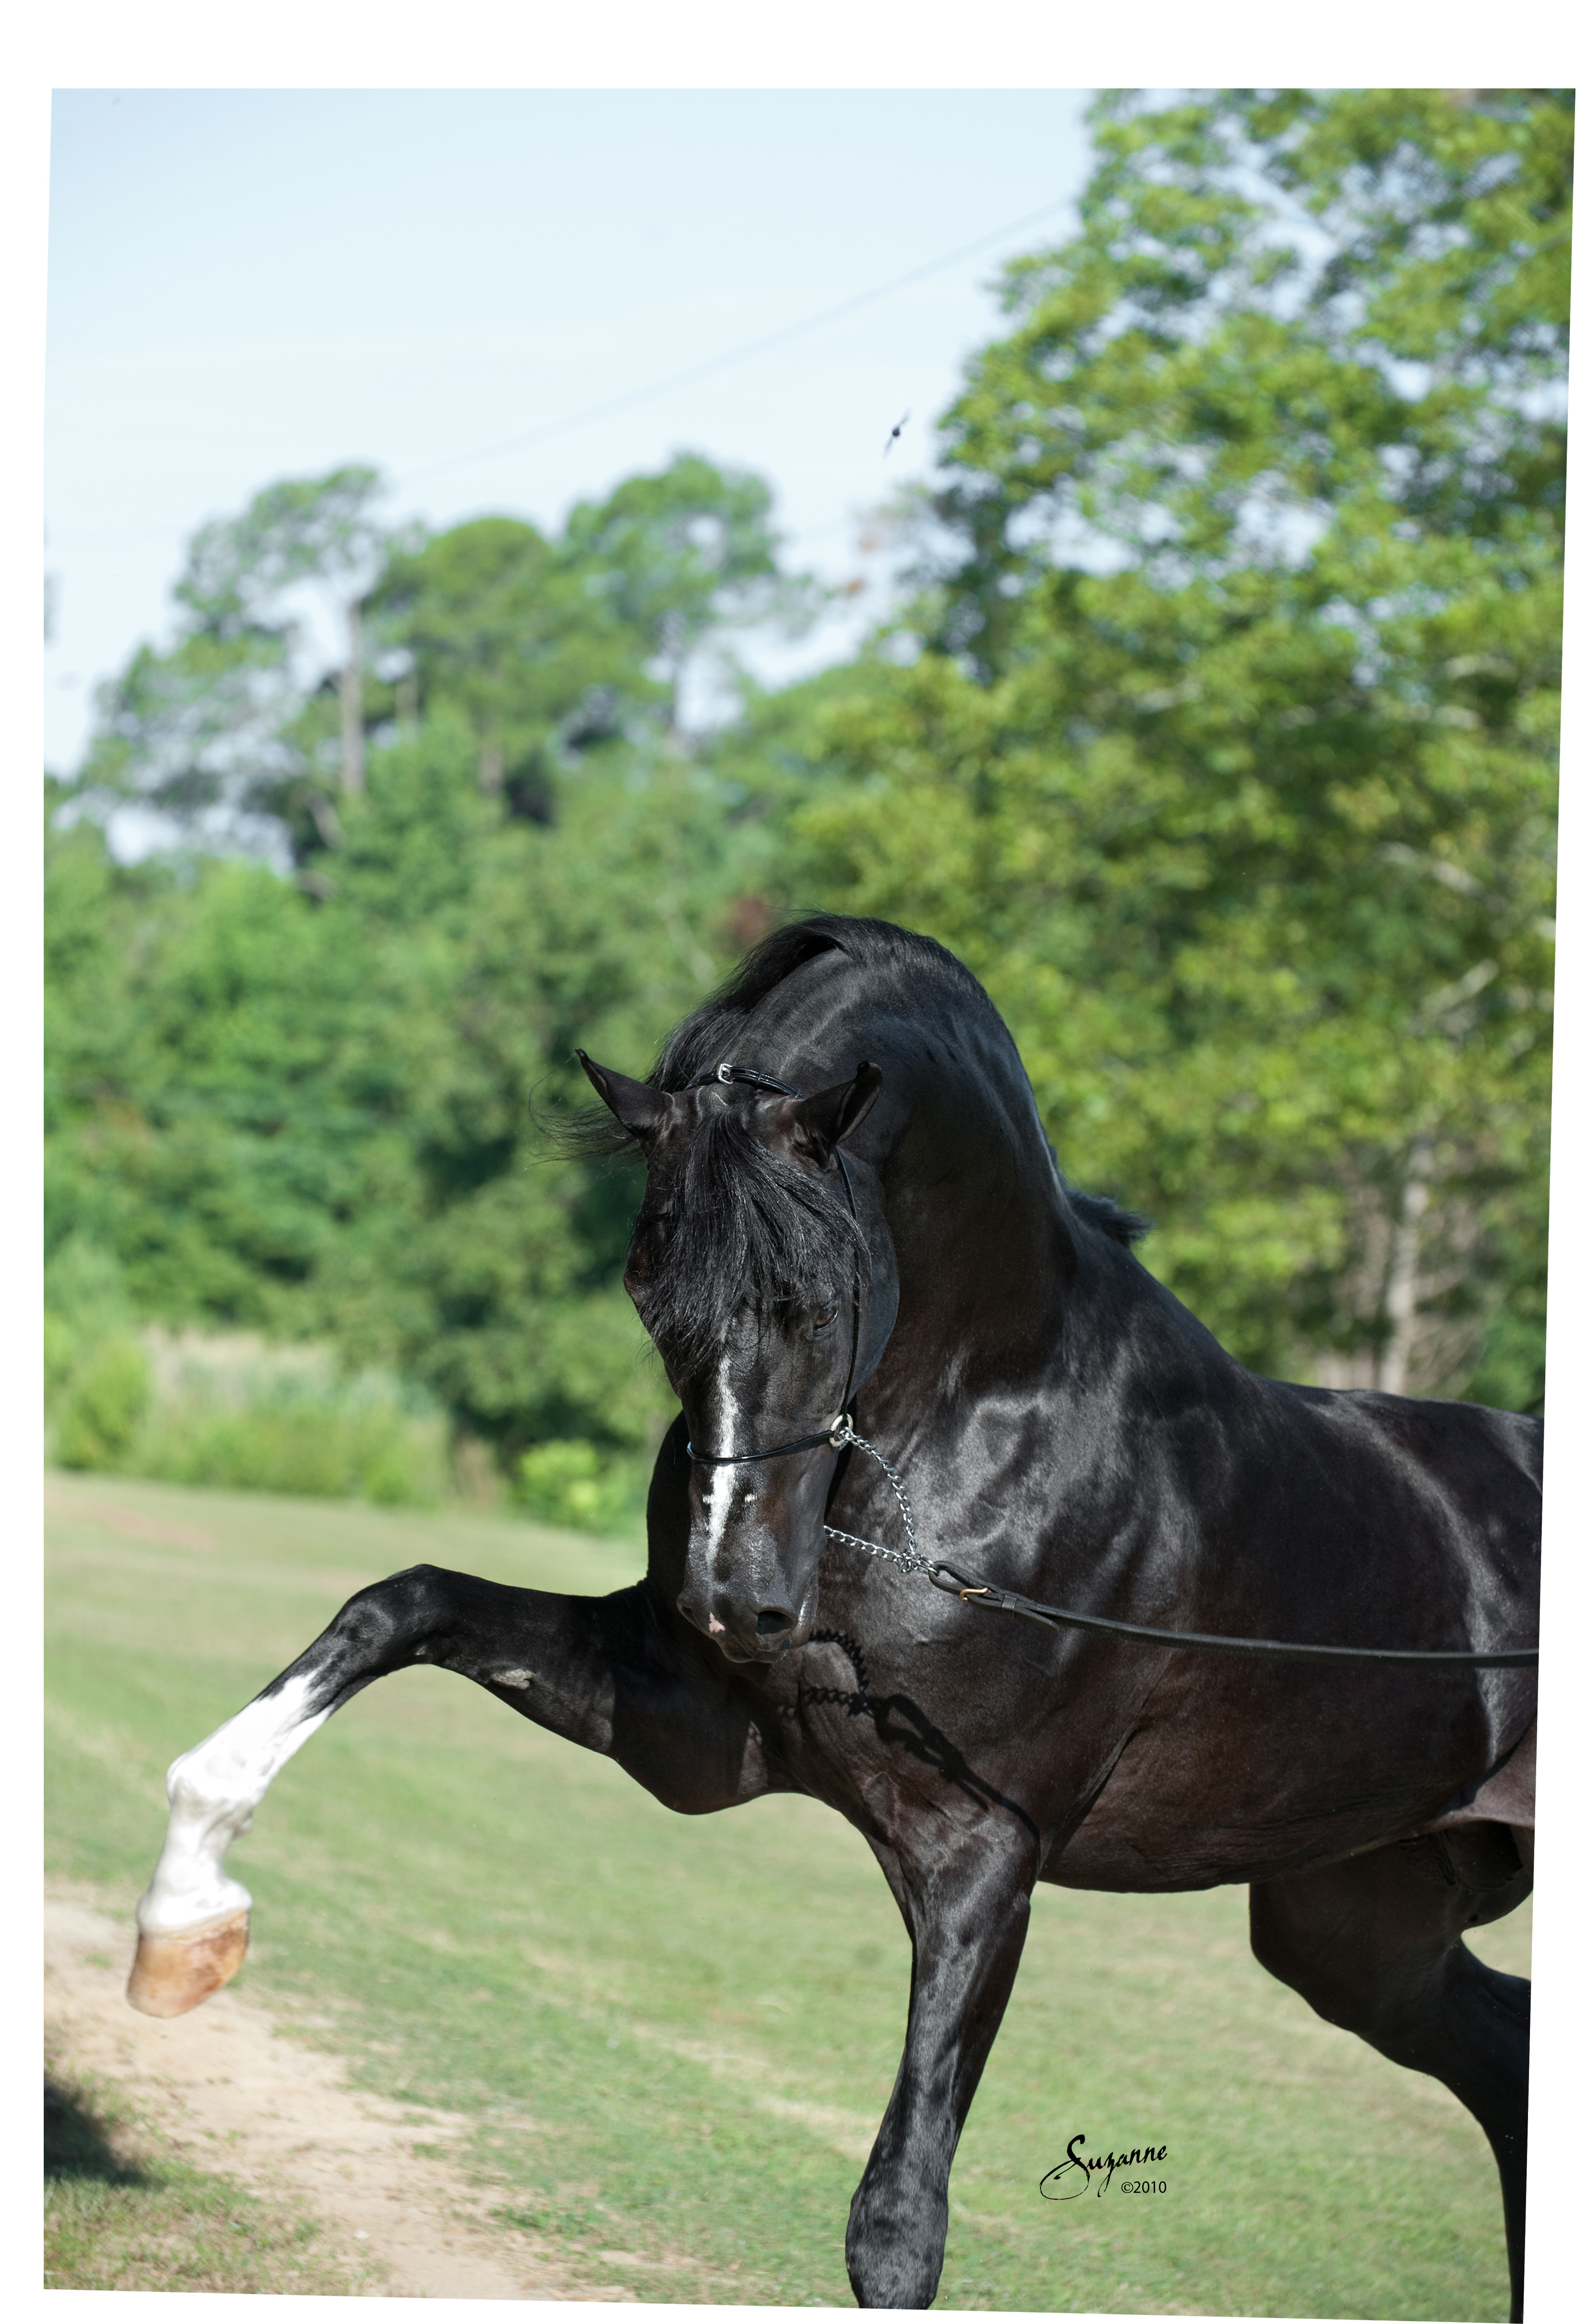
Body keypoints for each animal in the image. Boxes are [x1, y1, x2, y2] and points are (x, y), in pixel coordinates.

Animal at [125, 914, 1539, 2315]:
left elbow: (897, 2228)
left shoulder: (982, 1855)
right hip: (1357, 1926)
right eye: (648, 1289)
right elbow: (398, 1606)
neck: (973, 1442)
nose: (736, 1597)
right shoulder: (691, 1727)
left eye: (816, 1292)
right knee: (1505, 2064)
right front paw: (186, 1912)